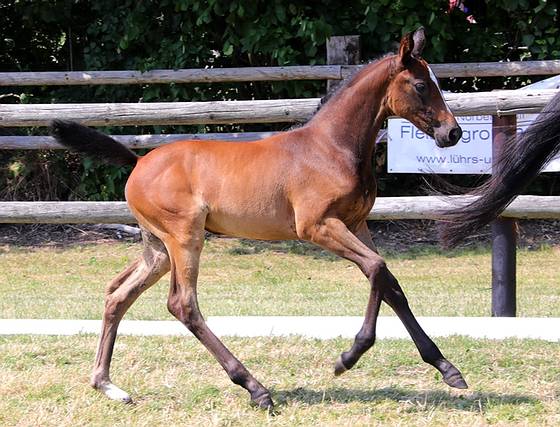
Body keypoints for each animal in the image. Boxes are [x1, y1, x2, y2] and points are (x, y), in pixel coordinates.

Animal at [51, 28, 464, 410]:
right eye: (421, 85)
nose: (453, 132)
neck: (331, 147)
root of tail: (138, 161)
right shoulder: (317, 227)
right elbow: (378, 269)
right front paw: (348, 357)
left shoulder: (357, 223)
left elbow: (390, 284)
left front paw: (447, 368)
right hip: (185, 237)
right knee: (183, 304)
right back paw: (255, 388)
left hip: (158, 249)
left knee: (117, 295)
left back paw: (108, 385)